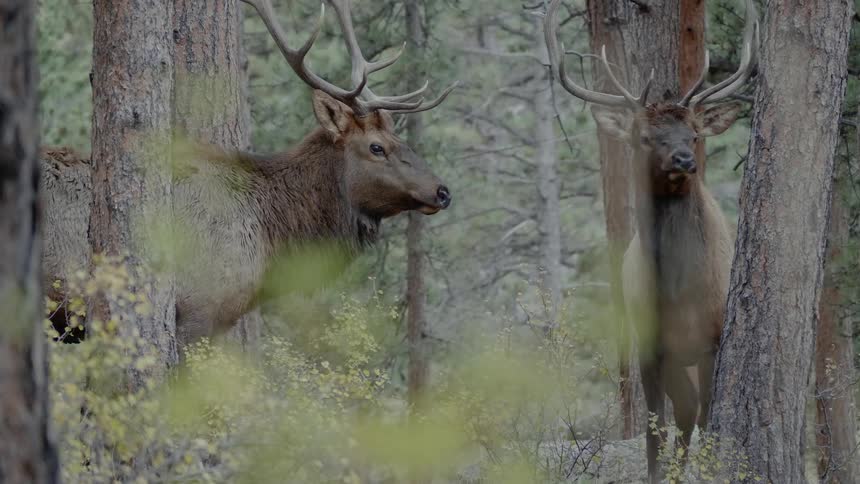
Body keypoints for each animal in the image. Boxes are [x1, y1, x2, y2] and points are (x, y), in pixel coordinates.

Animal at [544, 0, 758, 481]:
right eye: (645, 137)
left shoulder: (714, 337)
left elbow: (707, 423)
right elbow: (653, 431)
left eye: (694, 133)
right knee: (682, 414)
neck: (682, 296)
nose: (684, 159)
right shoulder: (650, 344)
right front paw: (660, 471)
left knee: (693, 414)